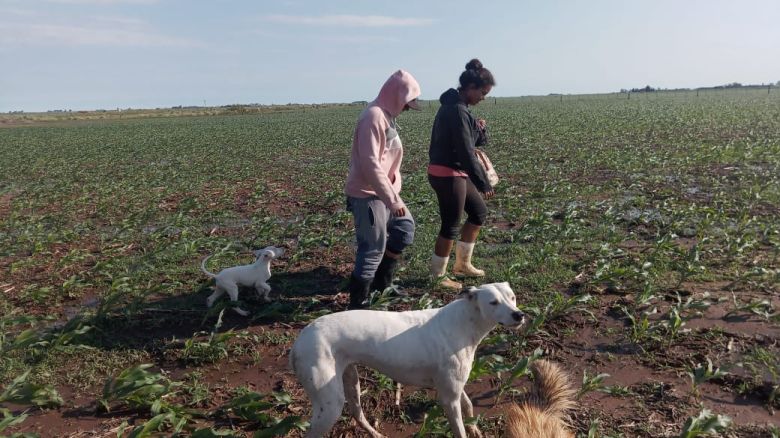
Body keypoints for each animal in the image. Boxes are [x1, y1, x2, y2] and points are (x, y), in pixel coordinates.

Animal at [288, 282, 524, 436]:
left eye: (512, 297)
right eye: (493, 302)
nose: (519, 315)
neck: (464, 322)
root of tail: (298, 342)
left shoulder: (454, 388)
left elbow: (468, 406)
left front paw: (475, 429)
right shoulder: (448, 398)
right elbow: (459, 429)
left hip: (350, 382)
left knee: (357, 413)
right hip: (330, 405)